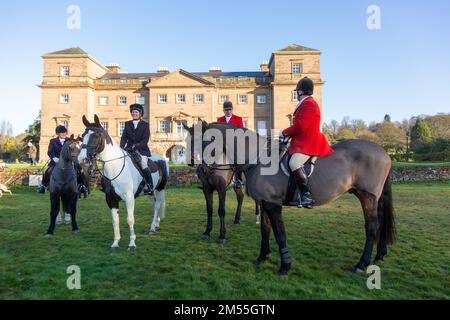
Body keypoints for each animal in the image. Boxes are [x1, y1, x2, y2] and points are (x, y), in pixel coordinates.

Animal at [78, 115, 170, 250]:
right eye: (83, 135)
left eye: (96, 136)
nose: (81, 159)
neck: (115, 166)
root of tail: (161, 158)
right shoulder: (110, 199)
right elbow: (115, 221)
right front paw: (115, 243)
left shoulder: (129, 197)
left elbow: (130, 219)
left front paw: (132, 243)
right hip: (149, 192)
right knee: (154, 205)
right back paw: (156, 225)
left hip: (160, 189)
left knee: (158, 204)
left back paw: (153, 227)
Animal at [185, 121, 396, 276]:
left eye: (203, 140)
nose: (199, 168)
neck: (258, 158)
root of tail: (384, 152)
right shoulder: (264, 203)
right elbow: (265, 230)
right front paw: (262, 258)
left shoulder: (272, 204)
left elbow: (280, 234)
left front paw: (284, 266)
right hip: (371, 198)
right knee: (379, 223)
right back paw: (379, 255)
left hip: (367, 196)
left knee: (372, 227)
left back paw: (361, 264)